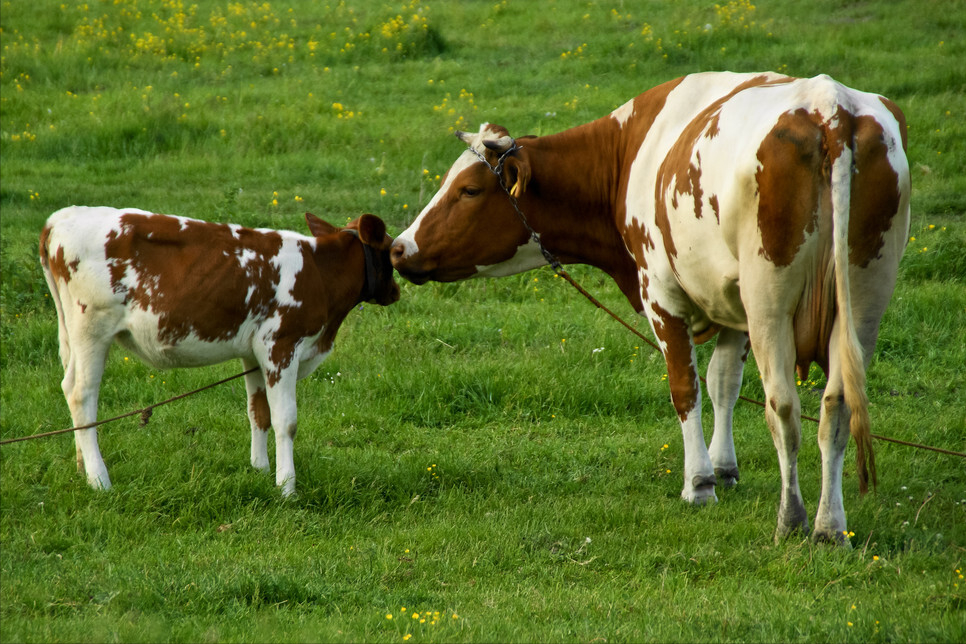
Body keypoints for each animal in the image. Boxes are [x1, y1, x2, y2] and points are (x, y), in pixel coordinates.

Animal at [41, 204, 400, 496]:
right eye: (391, 250)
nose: (396, 291)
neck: (318, 273)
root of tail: (61, 218)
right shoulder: (281, 346)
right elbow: (286, 420)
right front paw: (287, 486)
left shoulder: (253, 354)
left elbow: (258, 413)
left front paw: (260, 470)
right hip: (92, 328)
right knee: (81, 395)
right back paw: (99, 479)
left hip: (74, 334)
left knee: (68, 386)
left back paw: (81, 467)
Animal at [390, 73, 912, 540]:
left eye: (469, 190)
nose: (399, 247)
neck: (627, 153)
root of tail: (830, 106)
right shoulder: (731, 303)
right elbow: (723, 383)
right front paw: (724, 468)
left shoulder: (663, 293)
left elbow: (686, 388)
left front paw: (699, 483)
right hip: (862, 298)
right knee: (837, 405)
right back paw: (831, 526)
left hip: (771, 300)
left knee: (782, 406)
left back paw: (793, 519)